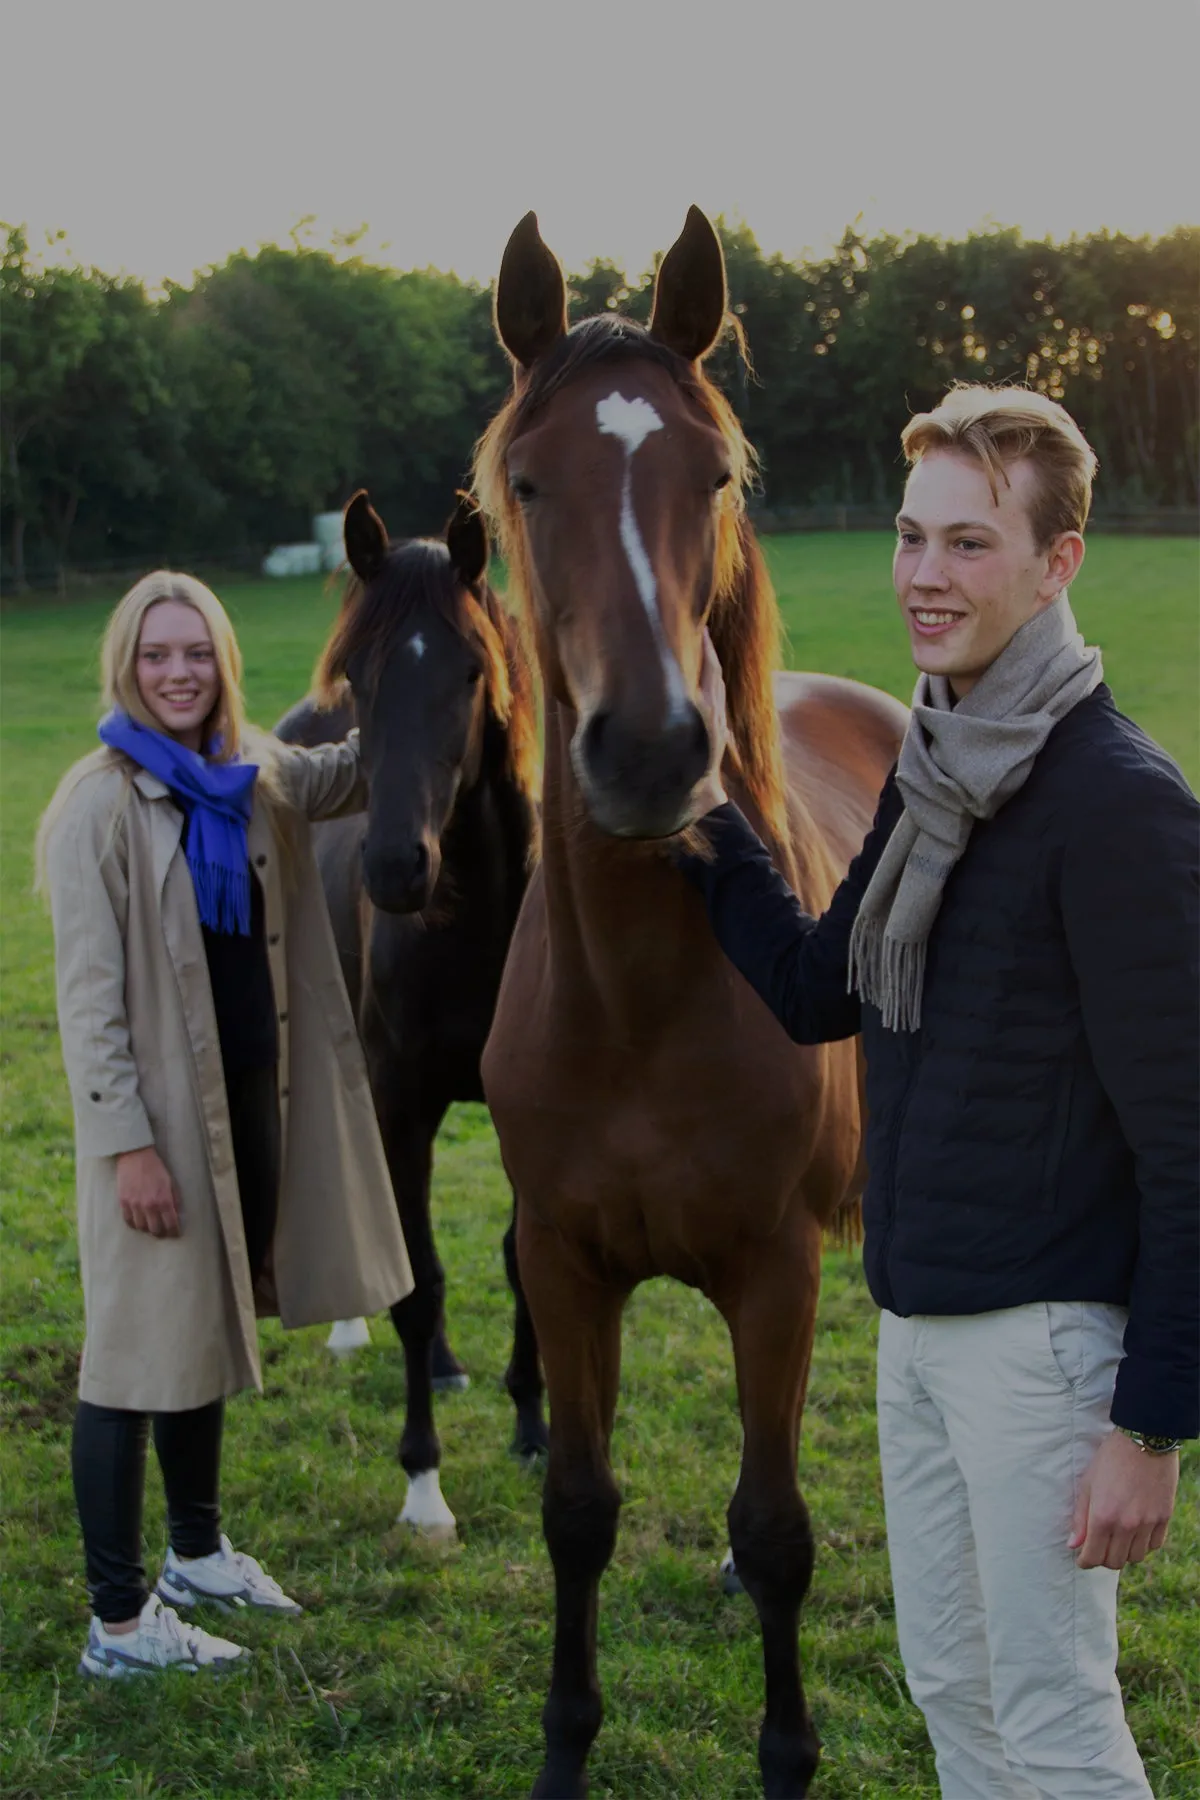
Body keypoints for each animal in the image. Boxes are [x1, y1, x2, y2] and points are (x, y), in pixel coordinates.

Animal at [275, 493, 543, 1533]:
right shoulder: (399, 1099)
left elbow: (520, 1259)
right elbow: (421, 1282)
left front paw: (533, 1424)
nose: (396, 867)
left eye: (471, 671)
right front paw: (423, 1485)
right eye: (361, 672)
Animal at [474, 214, 906, 1800]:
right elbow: (579, 1513)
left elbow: (779, 1532)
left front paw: (786, 1757)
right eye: (528, 484)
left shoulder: (773, 1272)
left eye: (712, 475)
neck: (641, 1005)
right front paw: (561, 1751)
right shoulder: (563, 1265)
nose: (657, 750)